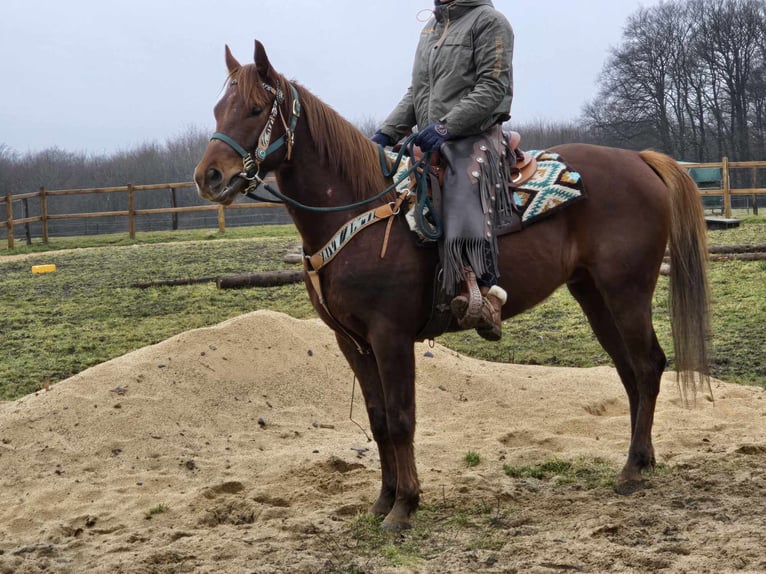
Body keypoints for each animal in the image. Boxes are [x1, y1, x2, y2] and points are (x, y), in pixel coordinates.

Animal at [195, 41, 712, 536]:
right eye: (219, 108)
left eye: (256, 109)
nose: (209, 177)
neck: (357, 212)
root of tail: (640, 159)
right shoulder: (352, 342)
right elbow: (378, 421)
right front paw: (382, 499)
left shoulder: (390, 336)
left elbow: (401, 418)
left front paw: (404, 506)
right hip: (594, 295)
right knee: (628, 372)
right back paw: (641, 459)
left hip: (627, 290)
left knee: (648, 365)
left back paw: (632, 469)